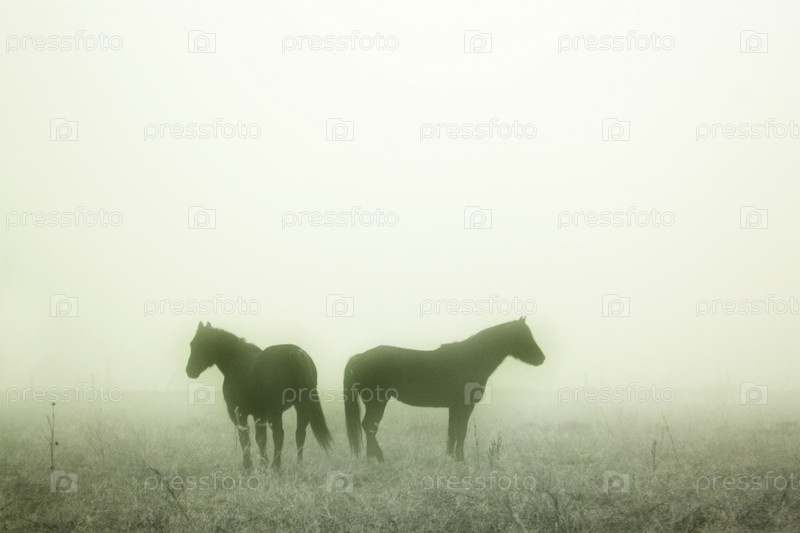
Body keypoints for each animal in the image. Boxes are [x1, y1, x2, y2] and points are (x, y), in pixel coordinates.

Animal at [185, 322, 333, 469]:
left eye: (201, 343)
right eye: (192, 343)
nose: (189, 370)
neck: (235, 362)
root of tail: (296, 354)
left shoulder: (238, 413)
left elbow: (245, 438)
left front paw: (248, 466)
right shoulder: (259, 414)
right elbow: (261, 439)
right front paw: (263, 465)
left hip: (276, 411)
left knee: (279, 434)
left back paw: (276, 467)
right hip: (302, 407)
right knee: (300, 434)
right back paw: (298, 465)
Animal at [343, 317, 545, 461]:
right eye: (523, 336)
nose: (541, 358)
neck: (471, 359)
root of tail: (358, 357)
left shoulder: (454, 407)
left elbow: (452, 432)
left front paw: (450, 457)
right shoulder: (464, 407)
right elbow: (461, 432)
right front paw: (460, 459)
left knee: (369, 427)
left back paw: (372, 457)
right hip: (377, 402)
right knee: (369, 427)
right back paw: (378, 457)